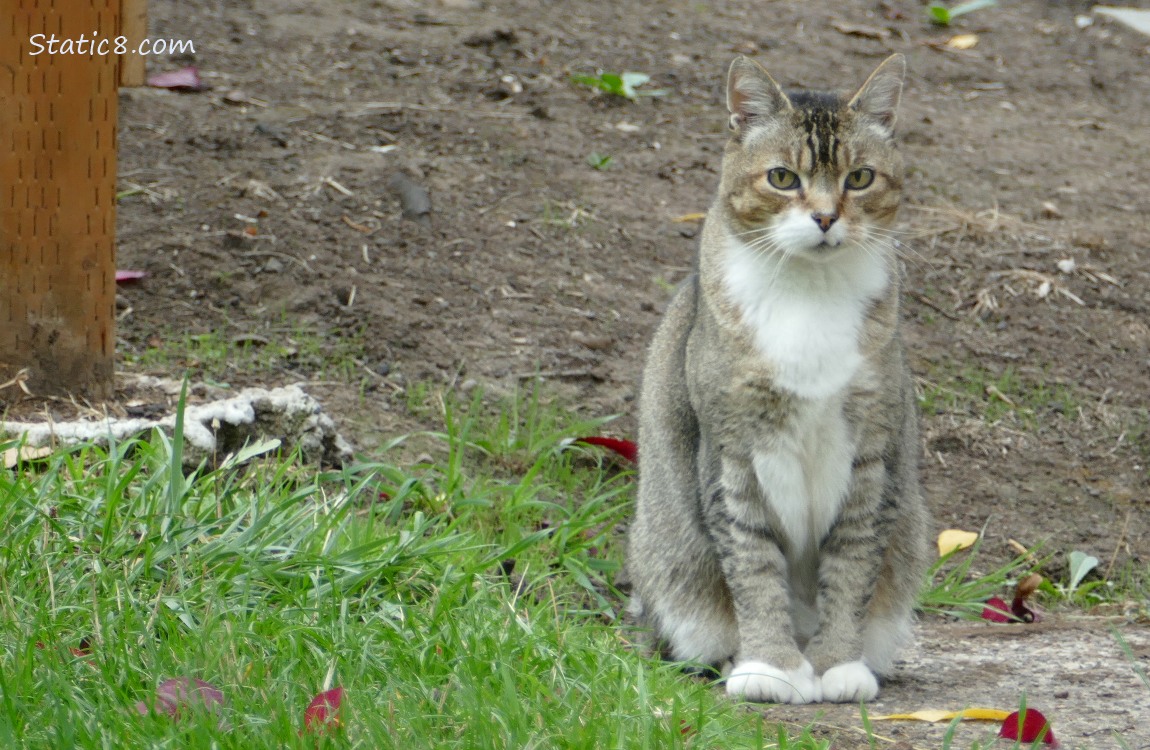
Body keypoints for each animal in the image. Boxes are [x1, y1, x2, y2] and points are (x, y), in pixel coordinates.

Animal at [625, 54, 929, 703]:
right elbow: (753, 564)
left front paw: (838, 664)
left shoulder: (872, 452)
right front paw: (770, 667)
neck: (810, 292)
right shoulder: (731, 451)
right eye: (783, 178)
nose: (825, 217)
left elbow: (852, 564)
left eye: (860, 178)